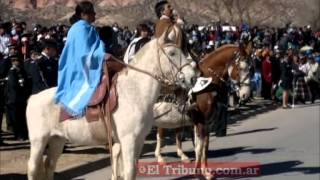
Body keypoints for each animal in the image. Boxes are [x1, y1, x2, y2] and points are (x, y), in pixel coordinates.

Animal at [26, 33, 198, 180]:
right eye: (172, 53)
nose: (192, 77)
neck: (134, 92)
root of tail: (32, 98)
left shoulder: (138, 140)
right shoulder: (129, 140)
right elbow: (129, 171)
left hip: (57, 140)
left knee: (50, 165)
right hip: (39, 141)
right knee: (33, 168)